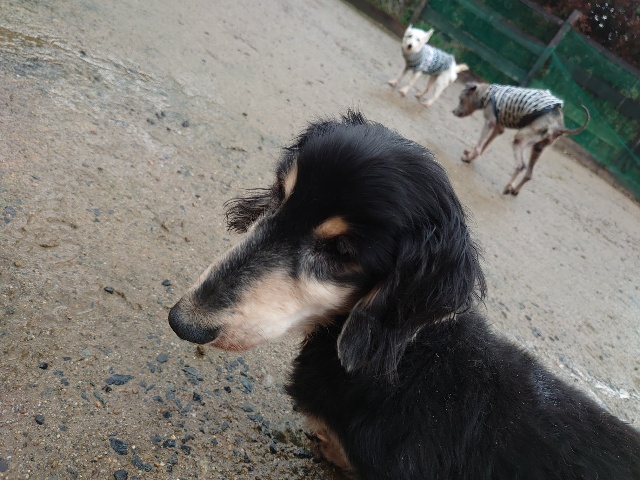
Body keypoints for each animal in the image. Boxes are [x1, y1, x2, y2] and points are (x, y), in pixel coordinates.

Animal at [453, 82, 590, 195]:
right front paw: (471, 155)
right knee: (529, 174)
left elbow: (479, 145)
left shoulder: (490, 122)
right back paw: (515, 189)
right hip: (538, 148)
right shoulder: (499, 128)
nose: (453, 111)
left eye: (460, 99)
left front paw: (468, 158)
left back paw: (507, 187)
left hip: (520, 139)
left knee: (521, 165)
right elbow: (484, 146)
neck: (487, 93)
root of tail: (559, 125)